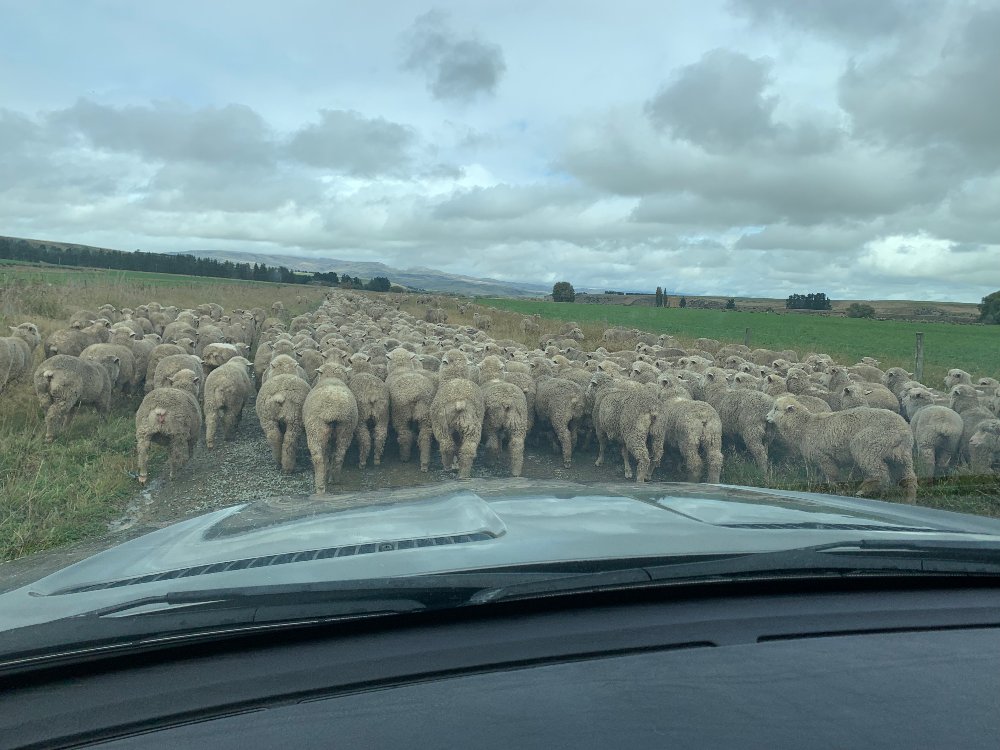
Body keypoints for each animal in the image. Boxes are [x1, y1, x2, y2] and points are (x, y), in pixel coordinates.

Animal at [760, 394, 916, 506]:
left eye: (776, 409)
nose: (766, 417)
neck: (805, 427)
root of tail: (903, 431)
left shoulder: (824, 457)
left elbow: (832, 476)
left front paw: (835, 491)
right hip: (900, 456)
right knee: (908, 477)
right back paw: (908, 499)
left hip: (868, 447)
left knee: (880, 474)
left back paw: (863, 491)